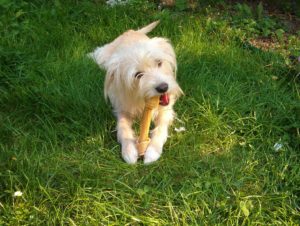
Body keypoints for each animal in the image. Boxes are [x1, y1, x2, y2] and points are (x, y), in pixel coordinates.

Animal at [89, 21, 183, 164]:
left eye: (159, 62)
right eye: (138, 75)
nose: (163, 87)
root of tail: (130, 31)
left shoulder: (166, 111)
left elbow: (161, 129)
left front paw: (153, 150)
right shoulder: (122, 110)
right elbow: (123, 128)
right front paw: (128, 150)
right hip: (103, 55)